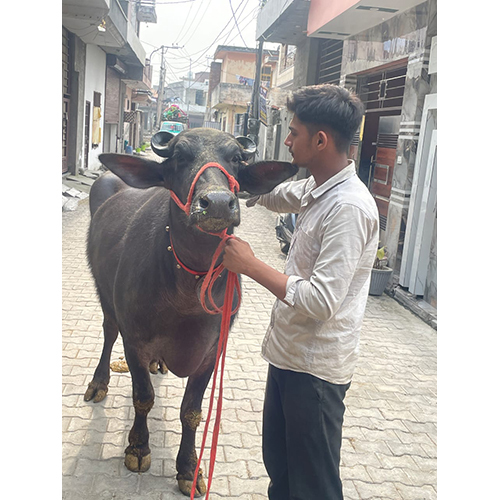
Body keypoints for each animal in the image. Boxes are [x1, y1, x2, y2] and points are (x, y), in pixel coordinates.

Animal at [84, 129, 296, 496]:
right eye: (180, 157)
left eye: (236, 158)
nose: (219, 203)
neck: (186, 291)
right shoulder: (135, 341)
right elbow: (143, 397)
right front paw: (138, 448)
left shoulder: (213, 350)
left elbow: (192, 412)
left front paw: (188, 469)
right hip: (104, 293)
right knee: (109, 331)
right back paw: (99, 382)